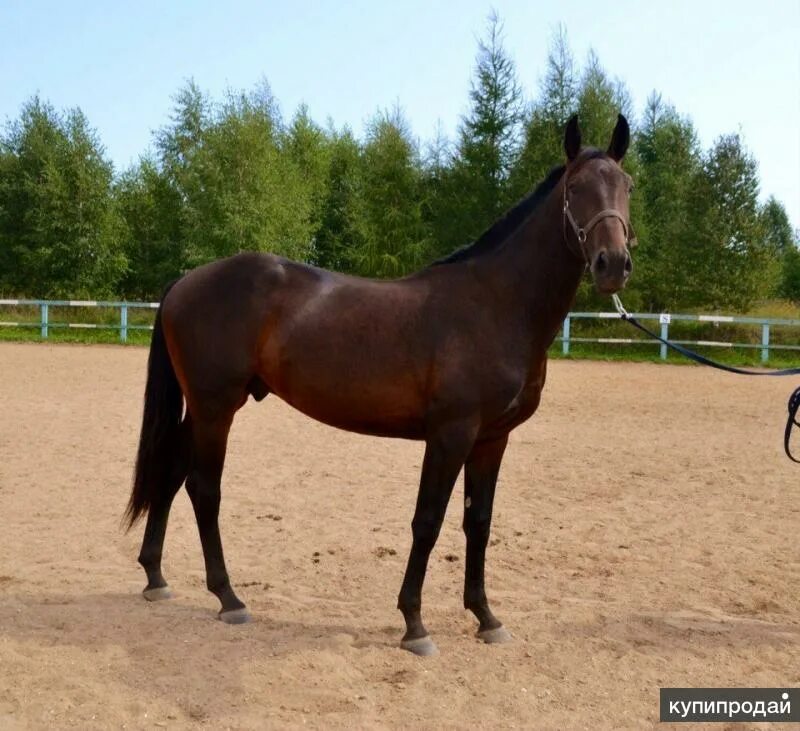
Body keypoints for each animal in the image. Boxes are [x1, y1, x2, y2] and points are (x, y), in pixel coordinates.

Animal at [125, 114, 636, 656]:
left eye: (626, 185)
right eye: (575, 188)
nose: (612, 263)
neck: (495, 305)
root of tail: (184, 283)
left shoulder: (492, 440)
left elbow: (478, 523)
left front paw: (486, 617)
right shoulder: (450, 435)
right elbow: (428, 521)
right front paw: (415, 624)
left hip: (206, 410)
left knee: (170, 473)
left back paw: (156, 578)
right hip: (215, 408)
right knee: (204, 489)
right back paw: (229, 598)